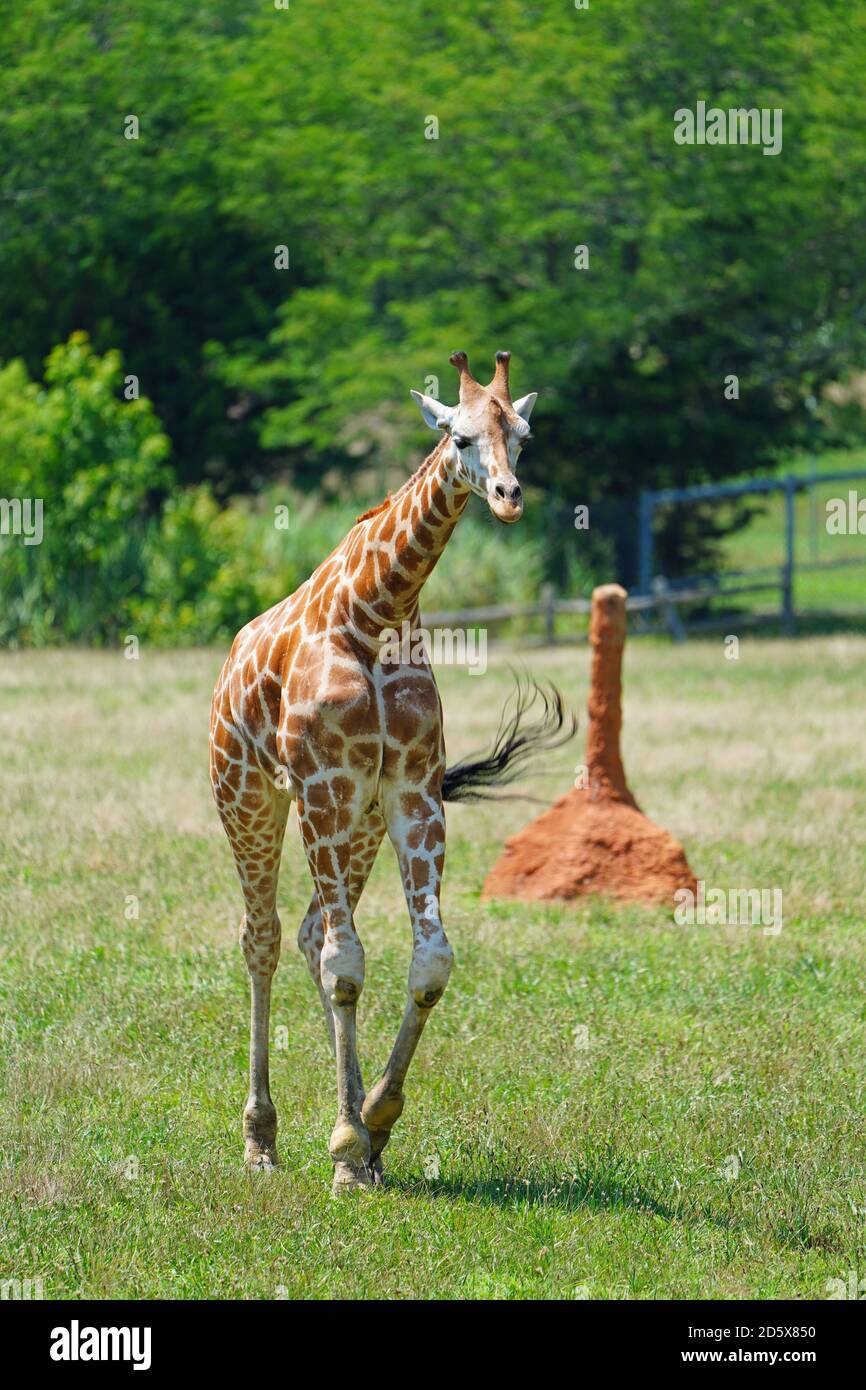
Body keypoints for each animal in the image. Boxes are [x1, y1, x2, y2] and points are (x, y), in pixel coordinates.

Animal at [207, 350, 567, 1195]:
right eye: (459, 436)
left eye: (523, 434)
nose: (508, 498)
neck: (379, 611)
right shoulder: (321, 787)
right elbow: (347, 964)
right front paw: (345, 1142)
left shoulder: (410, 793)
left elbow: (427, 961)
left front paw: (373, 1123)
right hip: (251, 800)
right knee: (264, 938)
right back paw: (261, 1137)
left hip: (360, 823)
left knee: (310, 934)